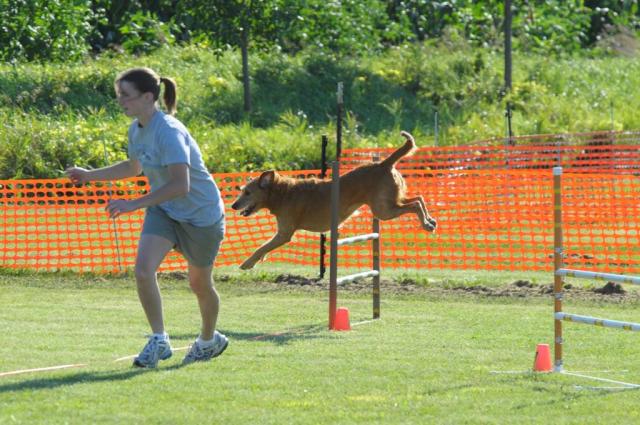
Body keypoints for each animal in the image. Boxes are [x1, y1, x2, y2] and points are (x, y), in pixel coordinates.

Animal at [232, 130, 438, 268]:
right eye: (242, 191)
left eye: (247, 193)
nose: (234, 205)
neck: (281, 192)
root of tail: (383, 164)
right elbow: (264, 248)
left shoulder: (284, 233)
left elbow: (262, 247)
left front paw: (247, 263)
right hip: (390, 202)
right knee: (418, 198)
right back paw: (430, 220)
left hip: (383, 209)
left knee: (414, 205)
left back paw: (426, 224)